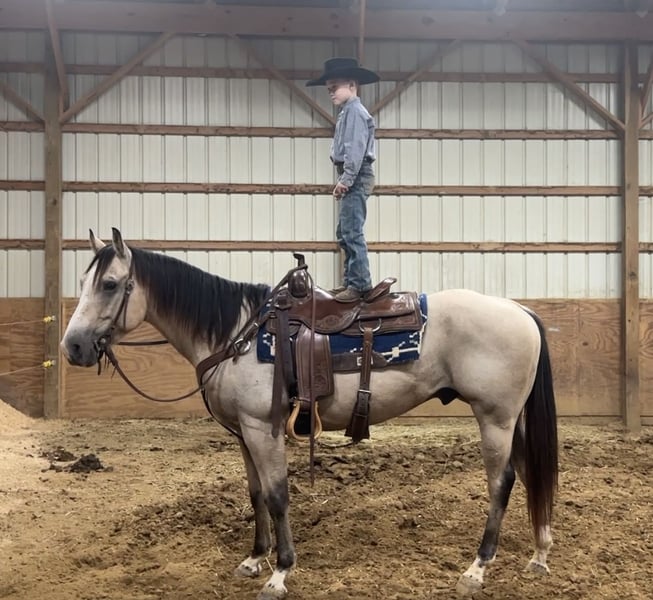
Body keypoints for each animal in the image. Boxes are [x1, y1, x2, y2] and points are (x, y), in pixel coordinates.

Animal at [60, 228, 558, 600]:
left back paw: (477, 568)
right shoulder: (244, 434)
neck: (236, 335)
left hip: (495, 418)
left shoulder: (263, 428)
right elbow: (255, 495)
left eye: (109, 284)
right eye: (84, 283)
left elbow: (278, 495)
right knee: (530, 473)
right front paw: (253, 559)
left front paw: (280, 573)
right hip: (513, 420)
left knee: (502, 482)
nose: (73, 347)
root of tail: (519, 310)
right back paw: (539, 553)